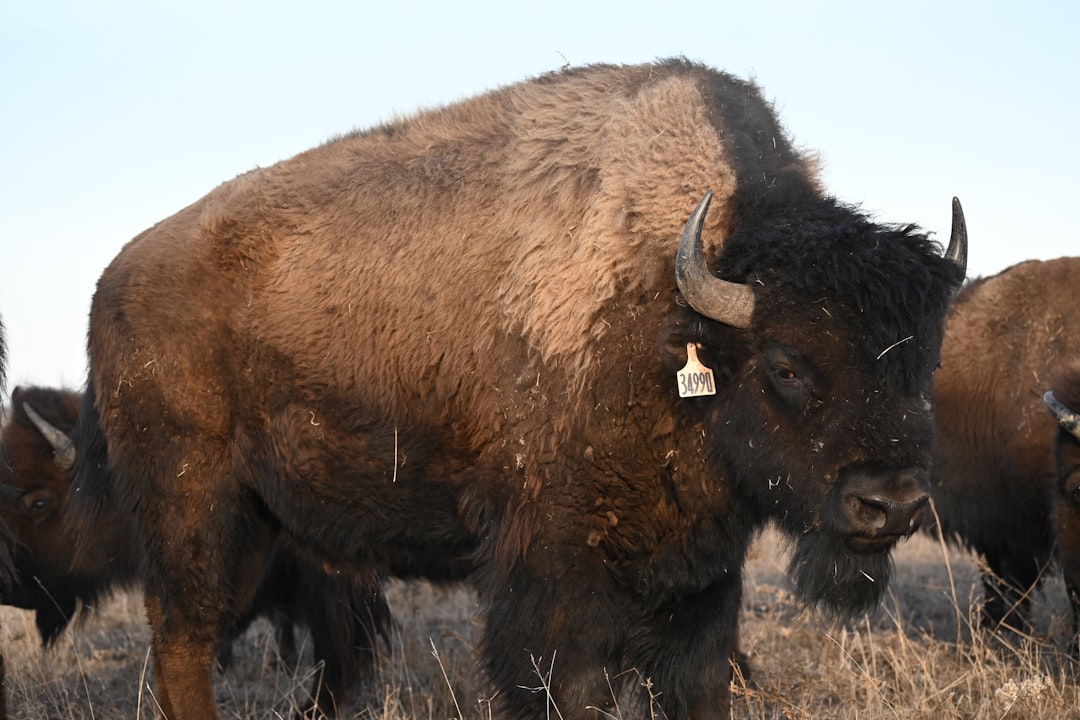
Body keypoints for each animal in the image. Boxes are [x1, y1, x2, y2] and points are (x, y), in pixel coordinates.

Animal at [71, 59, 966, 719]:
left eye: (924, 360)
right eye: (786, 366)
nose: (889, 505)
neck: (677, 315)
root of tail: (115, 278)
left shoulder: (700, 572)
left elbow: (698, 680)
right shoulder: (553, 571)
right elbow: (565, 686)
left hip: (262, 520)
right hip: (190, 506)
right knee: (183, 637)